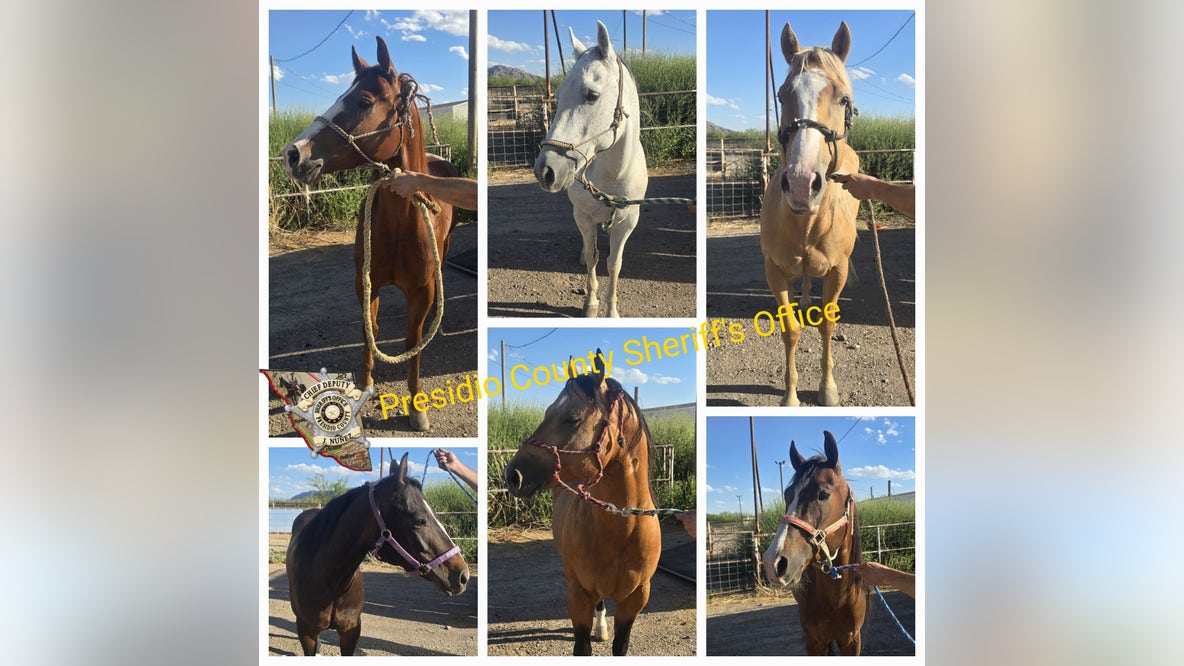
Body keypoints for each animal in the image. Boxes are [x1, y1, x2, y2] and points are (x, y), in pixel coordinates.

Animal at [280, 36, 457, 431]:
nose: (293, 154)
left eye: (363, 101)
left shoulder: (421, 293)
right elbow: (369, 330)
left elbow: (412, 341)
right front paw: (365, 387)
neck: (399, 228)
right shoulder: (366, 284)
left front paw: (417, 407)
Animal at [502, 355, 661, 655]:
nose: (513, 475)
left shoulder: (636, 599)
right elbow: (582, 646)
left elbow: (621, 645)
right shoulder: (579, 595)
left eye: (572, 418)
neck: (624, 528)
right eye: (547, 411)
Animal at [534, 21, 647, 318]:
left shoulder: (628, 222)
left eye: (591, 95)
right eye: (558, 96)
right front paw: (590, 304)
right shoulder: (583, 216)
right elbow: (591, 257)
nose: (546, 171)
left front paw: (611, 311)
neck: (613, 177)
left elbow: (614, 263)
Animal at [760, 22, 860, 406]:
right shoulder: (774, 270)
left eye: (843, 99)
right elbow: (791, 330)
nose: (802, 183)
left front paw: (827, 389)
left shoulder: (838, 270)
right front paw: (790, 395)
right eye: (781, 95)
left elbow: (828, 325)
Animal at [761, 431, 867, 655]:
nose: (772, 562)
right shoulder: (814, 641)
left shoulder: (852, 641)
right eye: (787, 494)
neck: (836, 599)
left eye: (823, 494)